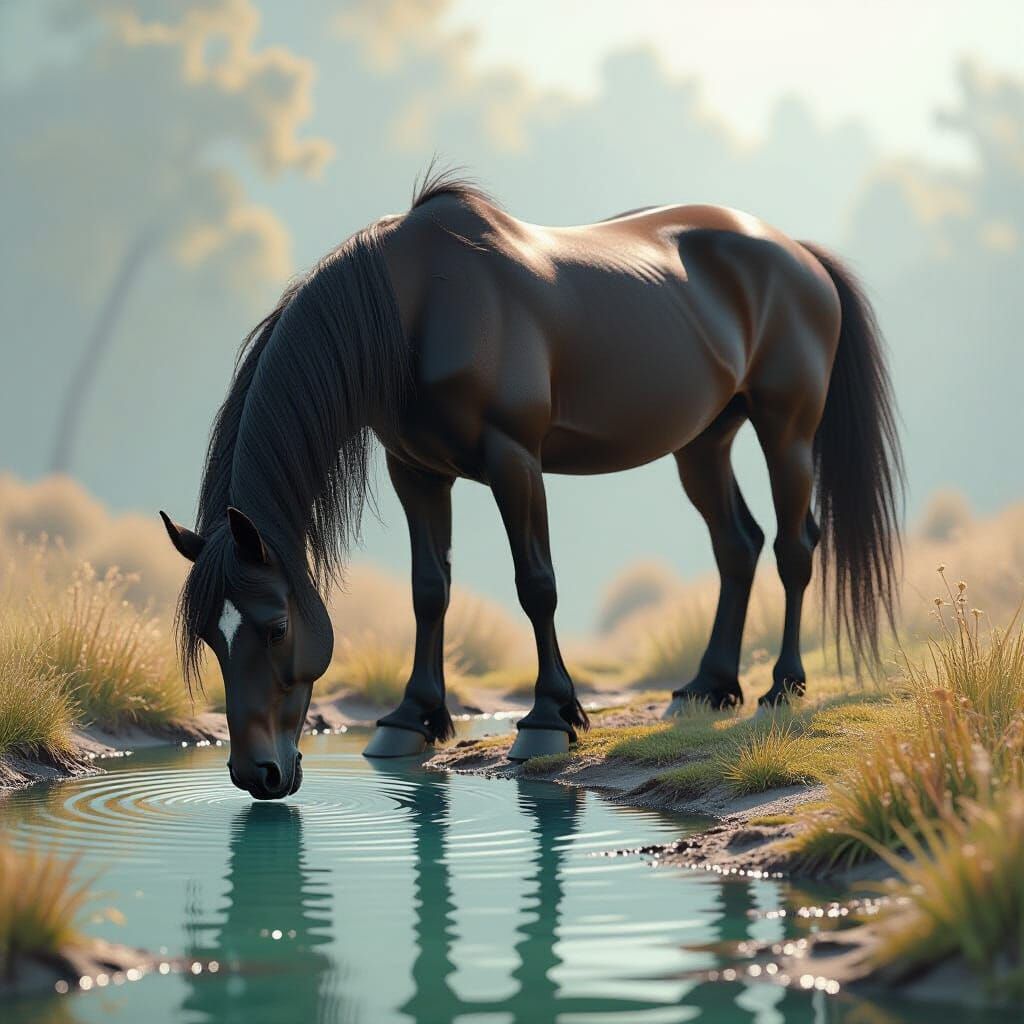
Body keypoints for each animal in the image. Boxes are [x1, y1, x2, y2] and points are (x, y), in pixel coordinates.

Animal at [160, 171, 902, 800]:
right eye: (211, 637)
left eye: (277, 626)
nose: (257, 774)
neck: (422, 304)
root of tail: (798, 254)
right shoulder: (416, 472)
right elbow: (429, 590)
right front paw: (410, 719)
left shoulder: (513, 461)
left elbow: (535, 584)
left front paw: (549, 718)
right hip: (703, 442)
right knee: (737, 545)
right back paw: (708, 687)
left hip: (786, 430)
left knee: (792, 547)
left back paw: (782, 687)